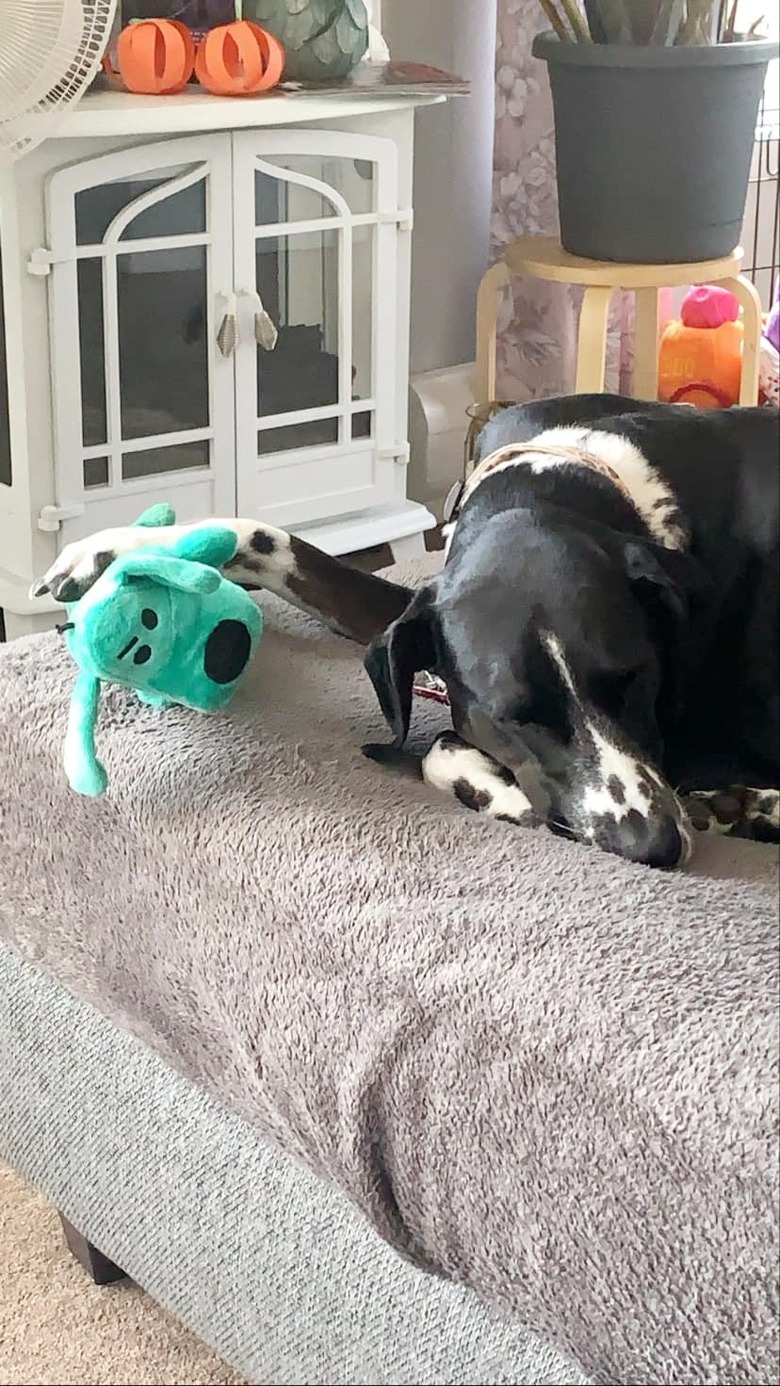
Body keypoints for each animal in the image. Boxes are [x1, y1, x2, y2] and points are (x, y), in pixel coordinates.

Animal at [33, 393, 775, 864]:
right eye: (517, 717)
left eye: (635, 678)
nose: (654, 847)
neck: (568, 474)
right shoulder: (417, 608)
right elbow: (270, 538)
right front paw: (102, 550)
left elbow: (439, 747)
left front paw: (501, 794)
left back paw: (748, 806)